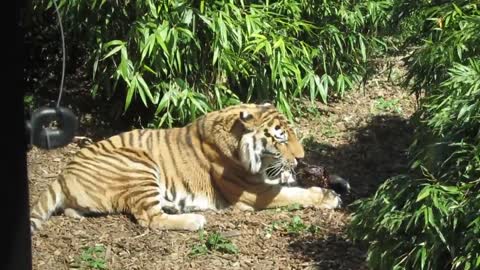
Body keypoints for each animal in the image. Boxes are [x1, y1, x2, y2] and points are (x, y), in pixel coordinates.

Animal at [30, 103, 342, 232]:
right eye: (280, 138)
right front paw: (329, 197)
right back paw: (194, 220)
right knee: (150, 219)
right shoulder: (254, 193)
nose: (301, 157)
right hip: (139, 164)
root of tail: (63, 173)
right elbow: (296, 194)